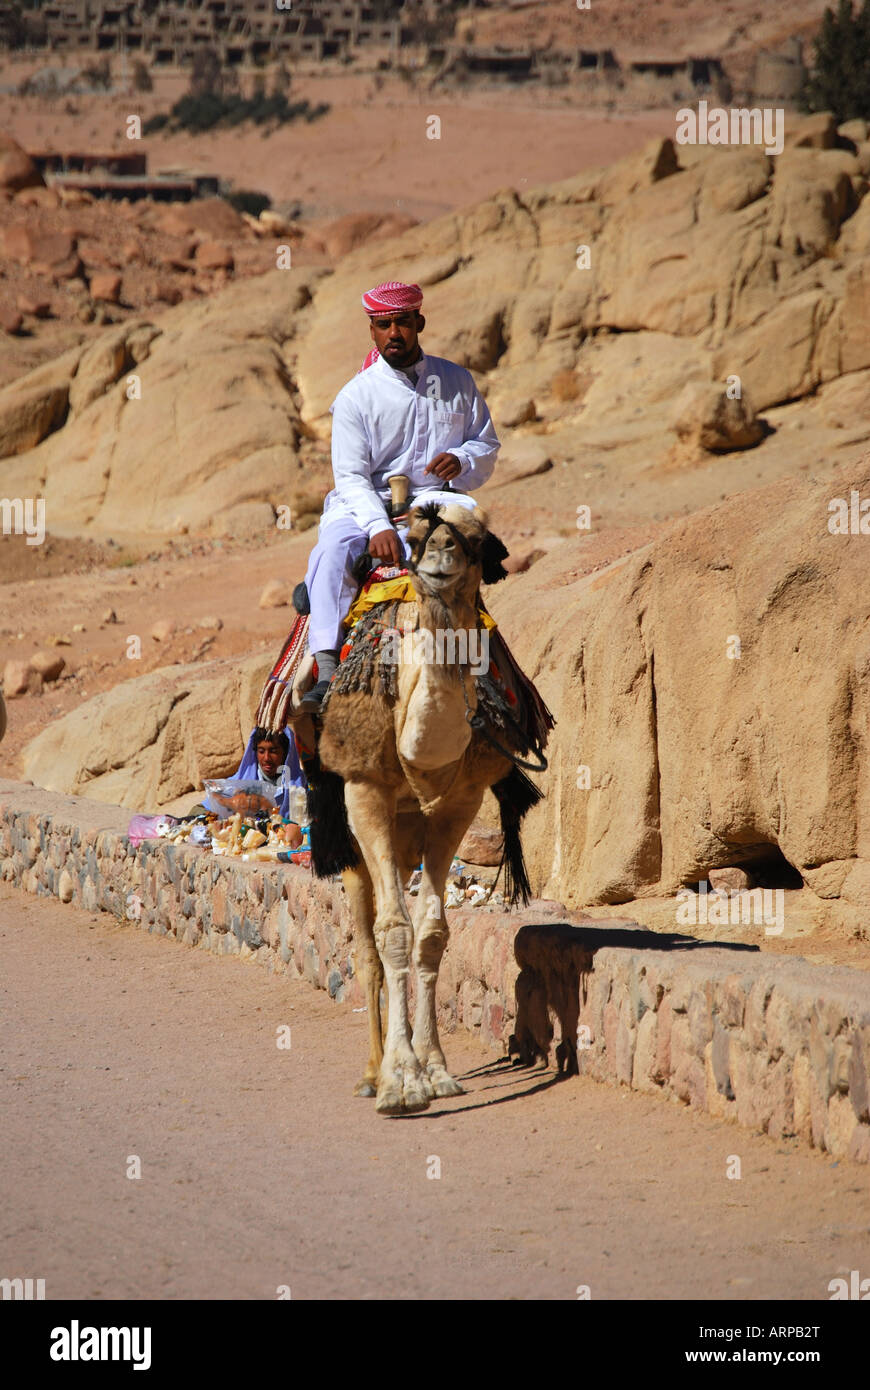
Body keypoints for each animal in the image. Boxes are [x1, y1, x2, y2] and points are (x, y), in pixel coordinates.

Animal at [284, 505, 544, 1112]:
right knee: (365, 945)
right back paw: (370, 1073)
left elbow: (430, 934)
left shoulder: (460, 801)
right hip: (348, 830)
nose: (441, 557)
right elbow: (392, 933)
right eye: (419, 535)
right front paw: (401, 1082)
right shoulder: (364, 791)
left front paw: (436, 1069)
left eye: (475, 539)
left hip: (407, 831)